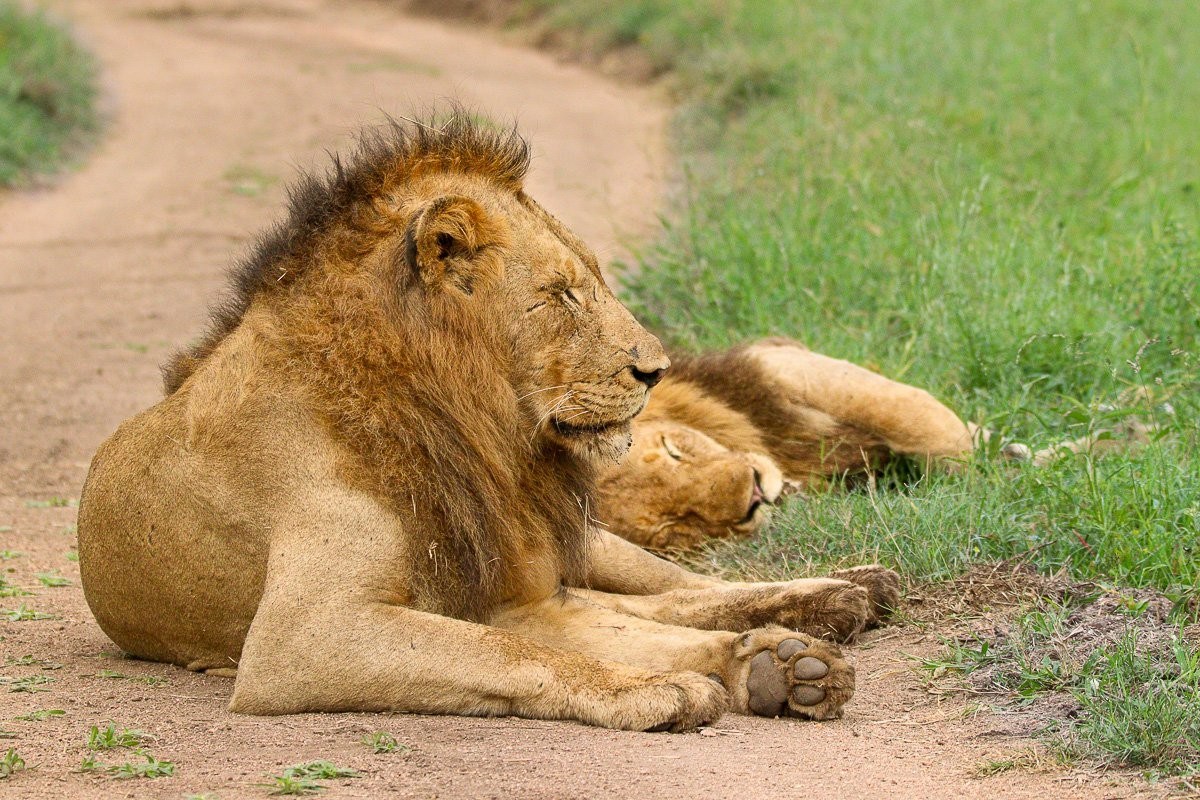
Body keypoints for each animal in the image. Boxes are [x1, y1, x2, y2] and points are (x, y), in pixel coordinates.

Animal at [77, 112, 900, 732]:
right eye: (561, 295)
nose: (656, 369)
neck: (449, 411)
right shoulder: (304, 636)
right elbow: (522, 655)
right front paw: (658, 689)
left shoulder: (506, 596)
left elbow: (607, 628)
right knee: (657, 608)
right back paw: (783, 657)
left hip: (588, 544)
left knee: (677, 588)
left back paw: (842, 596)